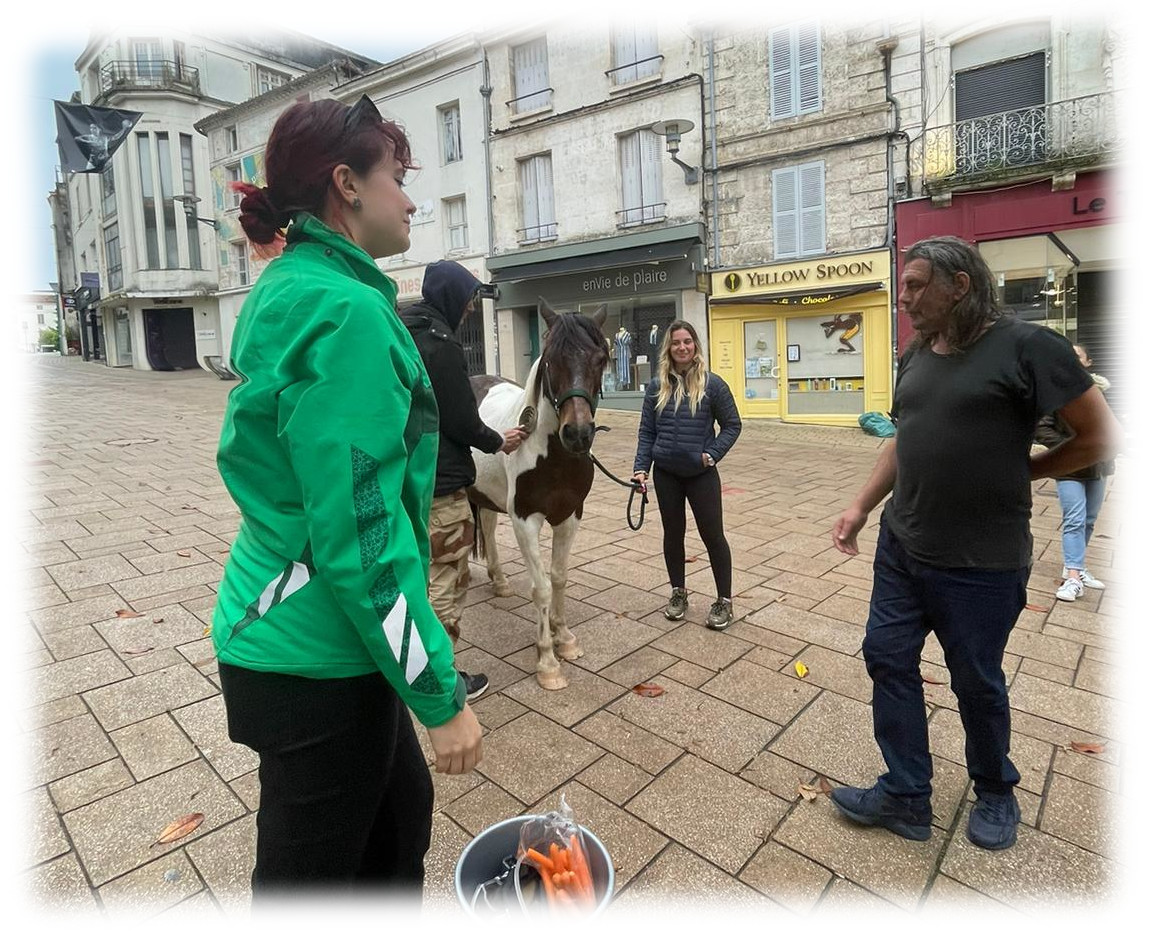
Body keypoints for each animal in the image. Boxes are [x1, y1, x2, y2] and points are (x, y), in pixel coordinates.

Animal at [470, 303, 616, 689]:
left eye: (600, 358)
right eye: (551, 359)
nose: (578, 434)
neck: (553, 455)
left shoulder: (570, 515)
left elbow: (560, 577)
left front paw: (564, 638)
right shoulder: (525, 521)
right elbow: (541, 588)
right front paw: (547, 661)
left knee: (486, 526)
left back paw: (499, 580)